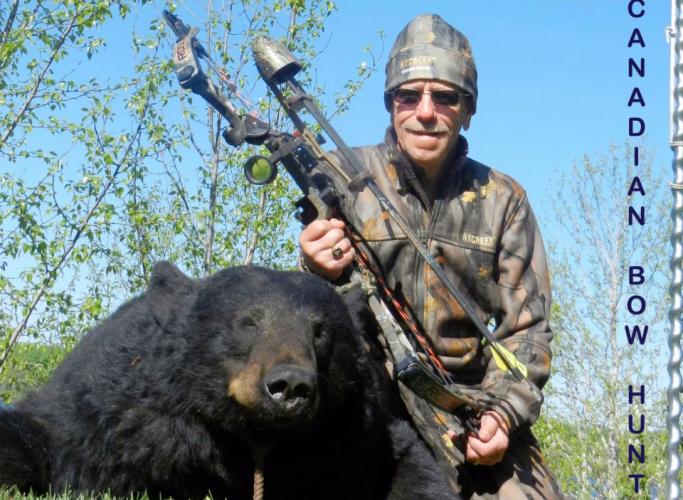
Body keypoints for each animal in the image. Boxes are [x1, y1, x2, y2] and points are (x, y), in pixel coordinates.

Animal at [0, 262, 458, 499]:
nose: (291, 385)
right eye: (247, 322)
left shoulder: (350, 438)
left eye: (321, 331)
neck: (253, 436)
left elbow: (409, 464)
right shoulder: (122, 422)